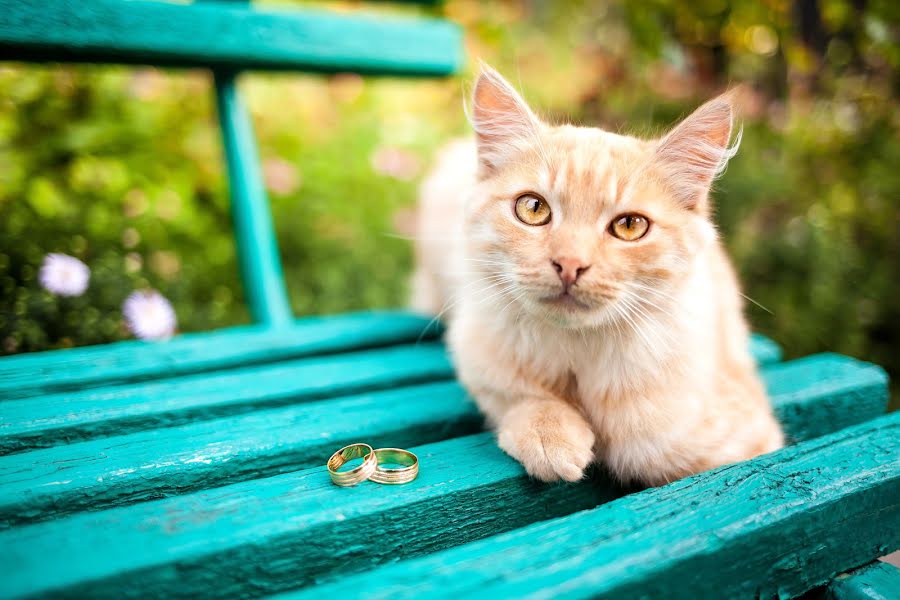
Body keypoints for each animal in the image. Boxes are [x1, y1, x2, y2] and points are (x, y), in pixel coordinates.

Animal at [412, 64, 784, 488]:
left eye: (629, 226)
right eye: (533, 209)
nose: (569, 264)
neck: (579, 357)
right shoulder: (477, 353)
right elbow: (521, 395)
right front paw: (550, 433)